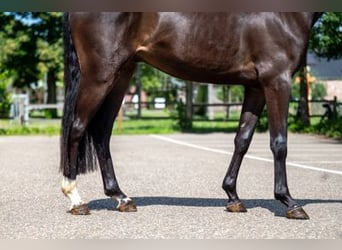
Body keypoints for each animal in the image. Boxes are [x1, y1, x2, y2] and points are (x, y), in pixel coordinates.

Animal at [60, 12, 320, 219]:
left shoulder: (256, 87)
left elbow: (242, 140)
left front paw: (233, 196)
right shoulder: (277, 81)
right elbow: (279, 143)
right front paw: (290, 202)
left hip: (121, 74)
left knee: (101, 133)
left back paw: (121, 198)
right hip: (100, 76)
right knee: (77, 128)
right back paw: (75, 199)